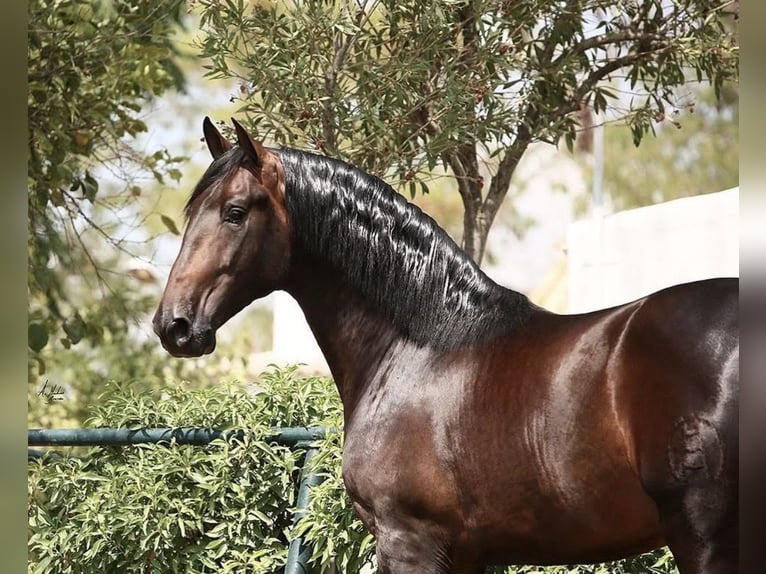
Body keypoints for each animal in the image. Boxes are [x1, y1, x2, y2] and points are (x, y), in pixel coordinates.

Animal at [153, 117, 739, 574]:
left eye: (235, 211)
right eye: (191, 213)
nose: (172, 325)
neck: (417, 348)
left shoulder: (409, 542)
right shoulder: (468, 554)